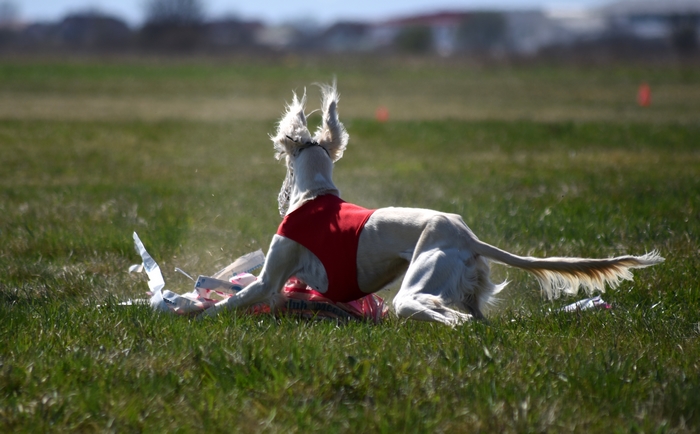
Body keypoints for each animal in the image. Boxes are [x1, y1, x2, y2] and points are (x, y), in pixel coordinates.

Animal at [204, 83, 668, 324]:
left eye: (284, 162)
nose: (281, 199)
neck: (315, 194)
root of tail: (467, 236)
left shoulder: (271, 279)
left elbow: (231, 300)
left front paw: (192, 317)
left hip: (418, 283)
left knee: (448, 318)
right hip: (464, 290)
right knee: (475, 319)